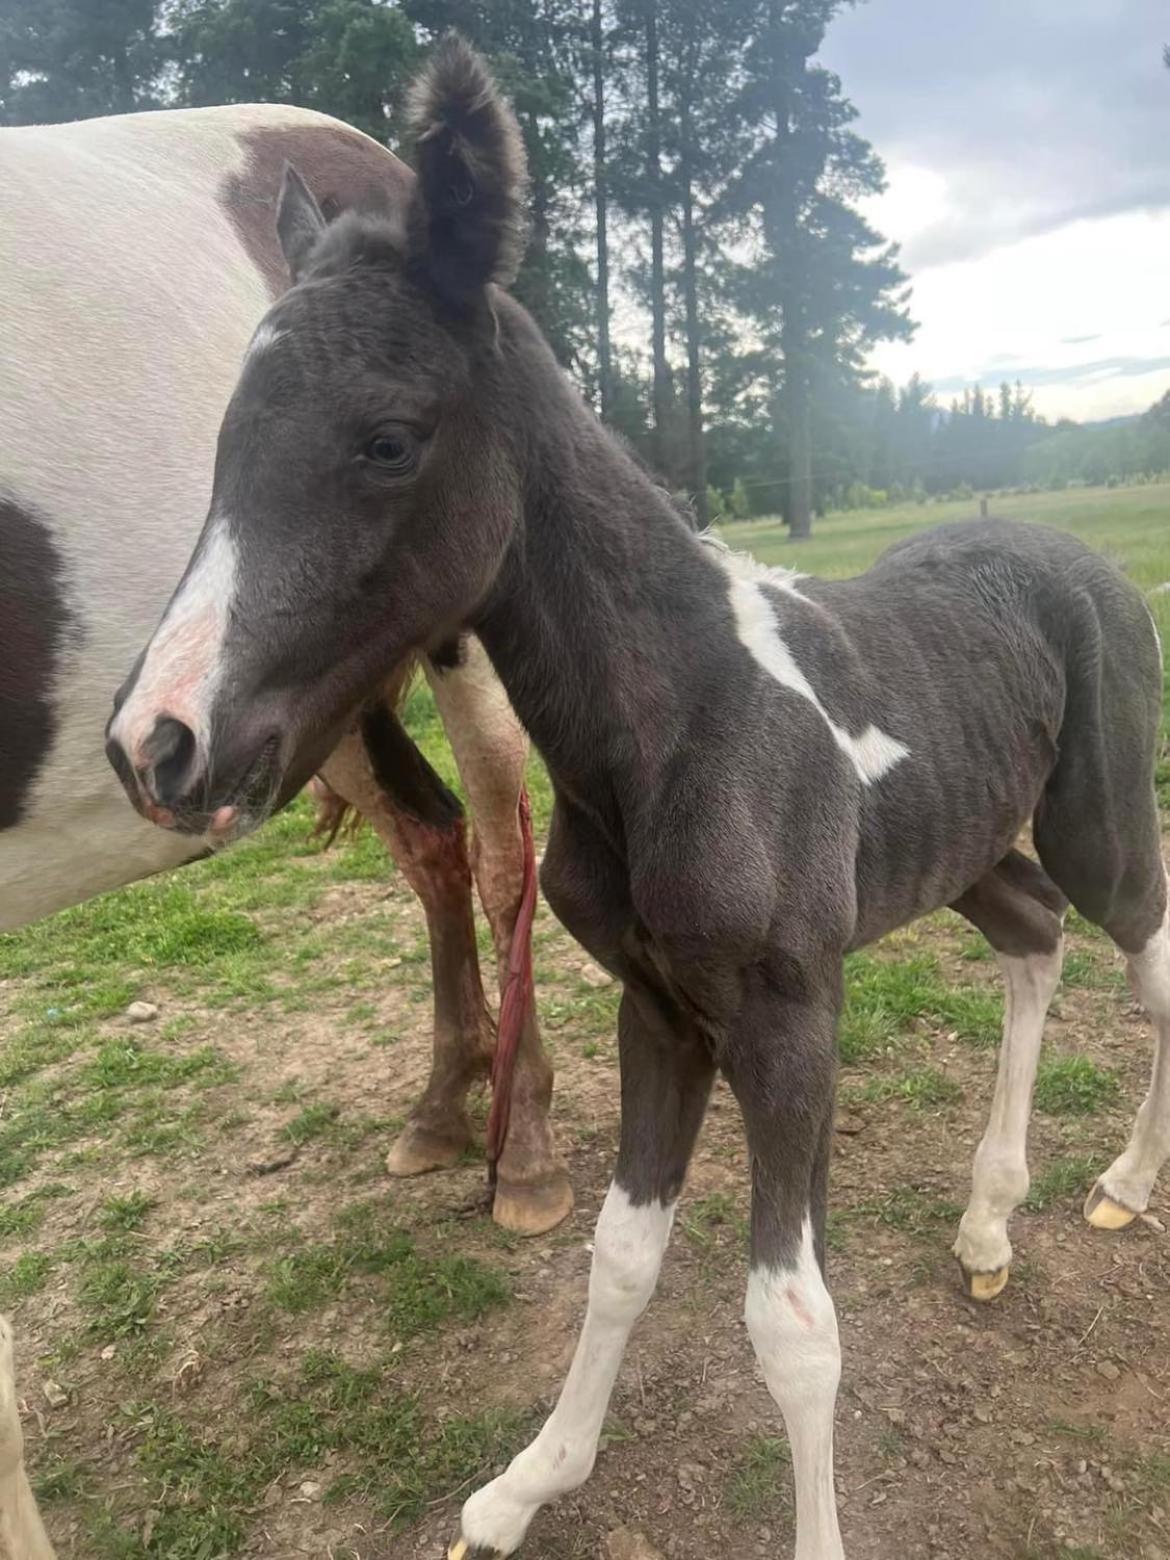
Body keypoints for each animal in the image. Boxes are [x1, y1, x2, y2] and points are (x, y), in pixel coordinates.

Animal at [105, 39, 1166, 1560]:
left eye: (386, 439)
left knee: (1143, 952)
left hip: (1098, 823)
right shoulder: (657, 1009)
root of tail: (1066, 551)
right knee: (1031, 933)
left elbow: (791, 1322)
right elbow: (618, 1256)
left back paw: (1120, 1187)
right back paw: (986, 1227)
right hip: (965, 851)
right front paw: (525, 1484)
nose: (160, 742)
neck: (679, 720)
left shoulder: (790, 1018)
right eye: (225, 441)